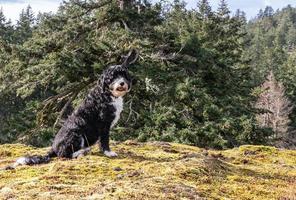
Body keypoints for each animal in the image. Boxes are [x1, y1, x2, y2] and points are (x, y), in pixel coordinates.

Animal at [4, 49, 139, 170]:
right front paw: (108, 153)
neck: (106, 94)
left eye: (124, 75)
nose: (122, 83)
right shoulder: (104, 123)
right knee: (65, 155)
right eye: (113, 77)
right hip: (76, 134)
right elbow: (104, 141)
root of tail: (53, 148)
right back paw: (81, 152)